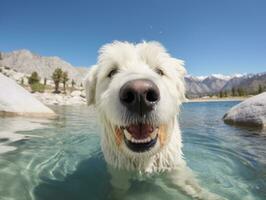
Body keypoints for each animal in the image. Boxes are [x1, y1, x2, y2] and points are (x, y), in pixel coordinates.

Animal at [85, 41, 222, 200]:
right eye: (112, 72)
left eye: (160, 71)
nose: (140, 95)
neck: (143, 159)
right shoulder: (118, 170)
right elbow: (119, 189)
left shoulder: (173, 165)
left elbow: (192, 186)